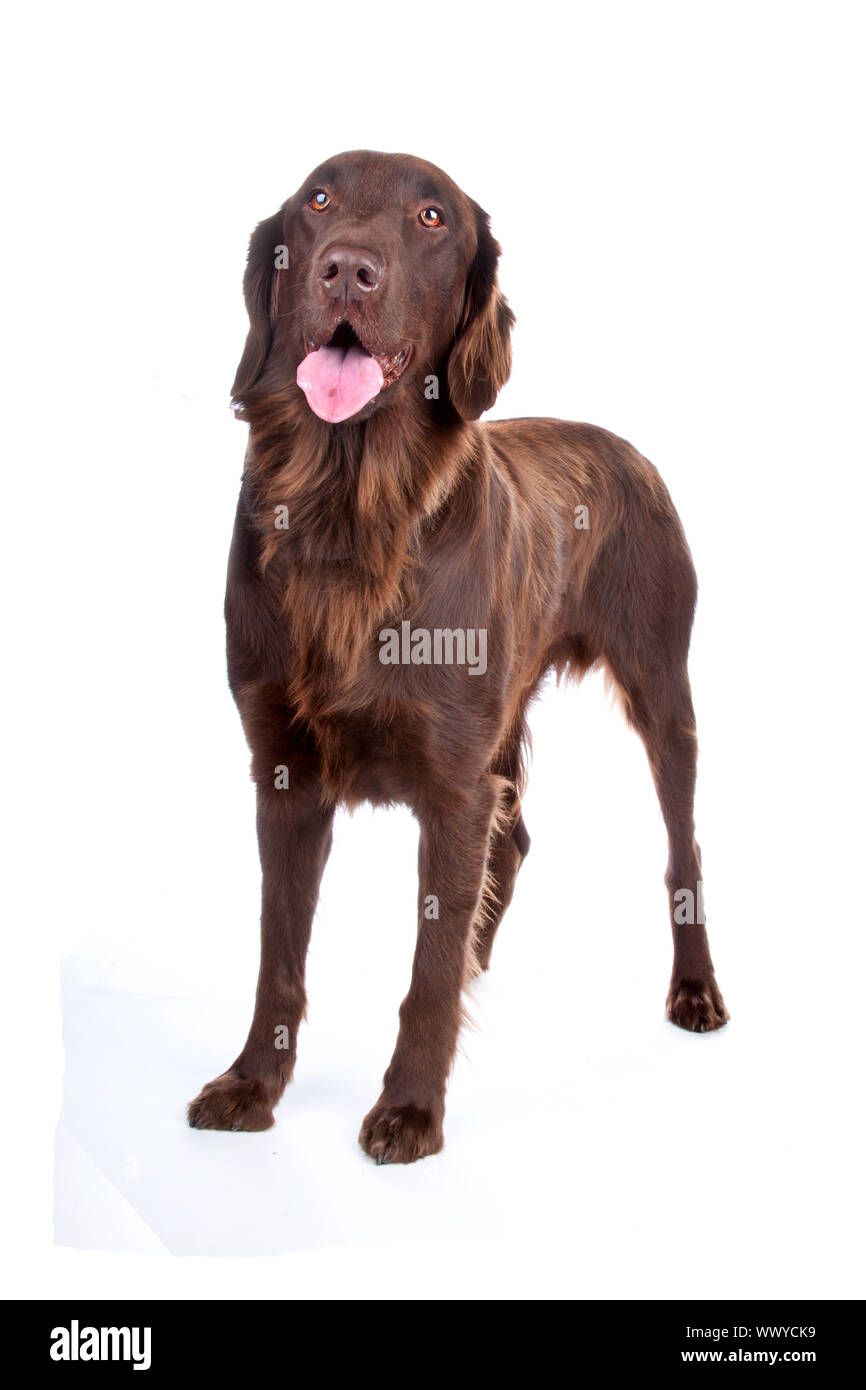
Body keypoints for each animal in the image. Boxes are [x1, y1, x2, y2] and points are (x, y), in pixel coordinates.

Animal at [186, 149, 728, 1162]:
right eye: (317, 200)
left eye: (432, 217)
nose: (348, 270)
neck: (350, 512)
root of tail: (627, 445)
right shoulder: (283, 772)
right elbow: (279, 955)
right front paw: (252, 1086)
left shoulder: (453, 782)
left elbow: (425, 972)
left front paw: (409, 1108)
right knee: (509, 846)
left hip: (662, 691)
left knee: (684, 850)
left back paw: (696, 990)